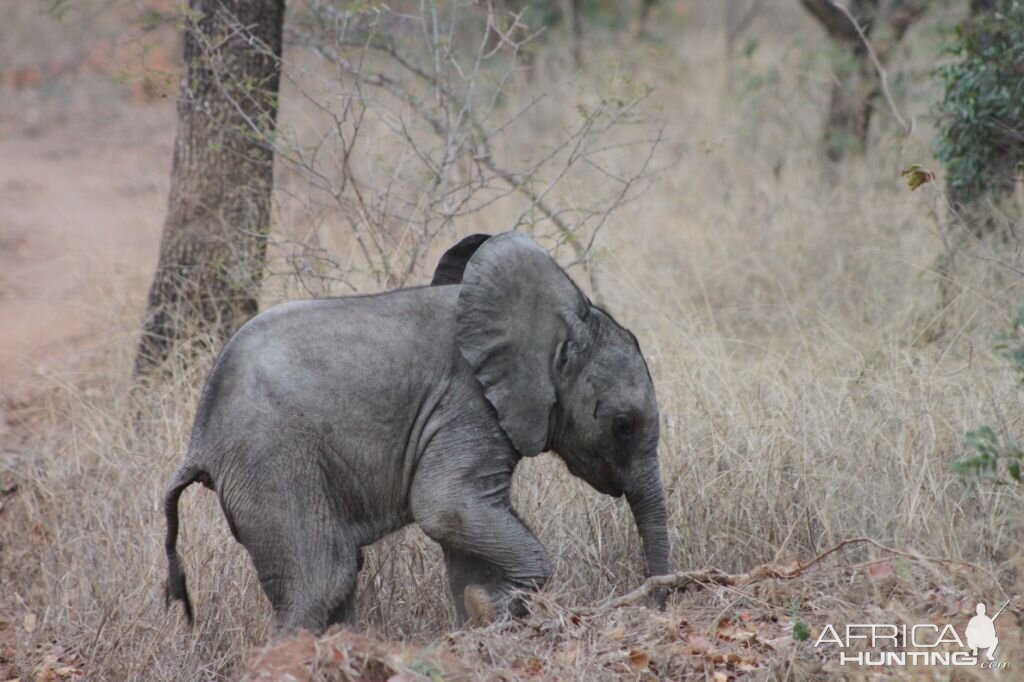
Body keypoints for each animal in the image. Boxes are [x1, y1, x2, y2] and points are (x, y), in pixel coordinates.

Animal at [163, 229, 667, 630]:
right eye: (623, 426)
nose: (657, 605)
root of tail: (198, 443)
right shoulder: (467, 403)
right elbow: (446, 507)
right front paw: (499, 607)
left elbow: (463, 534)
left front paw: (478, 621)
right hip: (272, 466)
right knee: (323, 579)